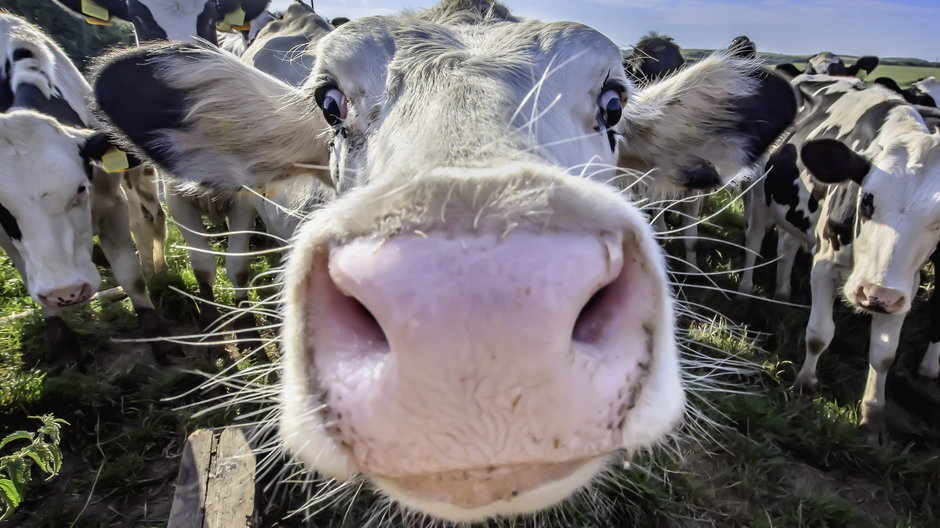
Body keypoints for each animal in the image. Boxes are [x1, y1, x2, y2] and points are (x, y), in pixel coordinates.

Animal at [0, 14, 179, 366]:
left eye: (80, 189)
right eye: (0, 207)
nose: (65, 293)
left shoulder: (112, 203)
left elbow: (130, 272)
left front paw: (160, 338)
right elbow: (29, 277)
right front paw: (63, 344)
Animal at [740, 74, 940, 436]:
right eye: (868, 199)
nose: (874, 295)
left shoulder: (904, 287)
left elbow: (884, 354)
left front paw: (872, 415)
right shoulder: (823, 265)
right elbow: (820, 333)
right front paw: (805, 383)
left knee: (786, 248)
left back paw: (783, 294)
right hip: (759, 196)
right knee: (753, 242)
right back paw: (745, 294)